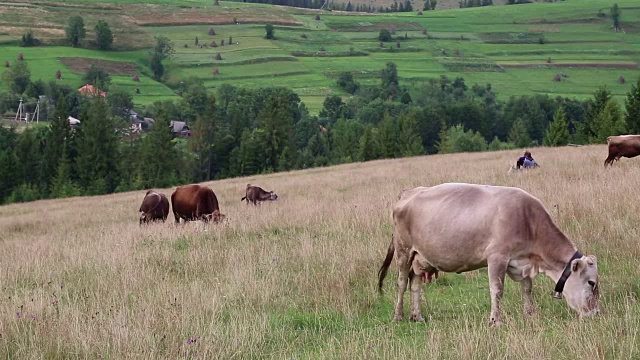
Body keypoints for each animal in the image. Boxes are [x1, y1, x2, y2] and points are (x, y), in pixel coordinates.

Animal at [378, 184, 596, 324]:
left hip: (421, 258)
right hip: (404, 251)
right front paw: (495, 320)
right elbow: (497, 290)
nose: (596, 313)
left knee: (415, 284)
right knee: (401, 283)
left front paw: (530, 314)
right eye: (592, 283)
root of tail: (408, 192)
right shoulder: (497, 258)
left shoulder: (523, 262)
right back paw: (398, 316)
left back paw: (418, 316)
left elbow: (527, 289)